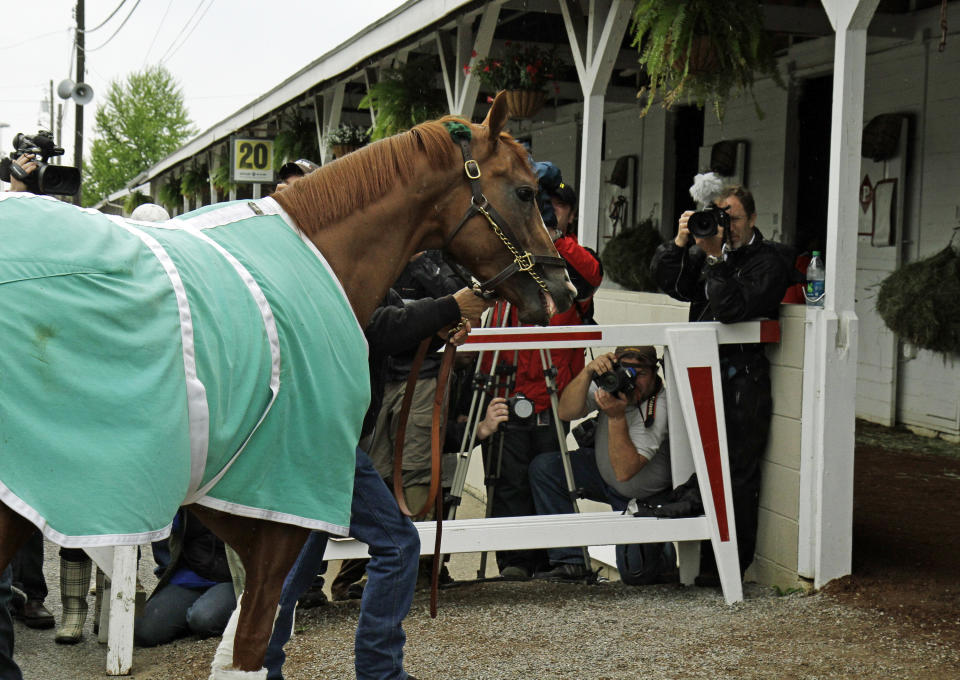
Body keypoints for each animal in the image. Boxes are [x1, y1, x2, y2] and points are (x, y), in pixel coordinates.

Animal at [0, 94, 568, 676]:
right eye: (525, 192)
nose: (562, 288)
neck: (321, 254)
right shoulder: (280, 517)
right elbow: (250, 647)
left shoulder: (275, 505)